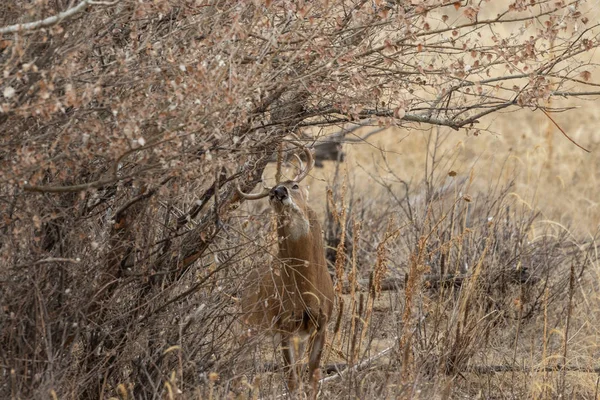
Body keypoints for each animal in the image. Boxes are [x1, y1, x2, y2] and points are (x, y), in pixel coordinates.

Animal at [238, 142, 332, 392]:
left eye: (295, 185)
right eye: (270, 193)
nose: (278, 192)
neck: (308, 290)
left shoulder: (322, 324)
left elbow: (312, 379)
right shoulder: (284, 325)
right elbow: (292, 381)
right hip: (249, 324)